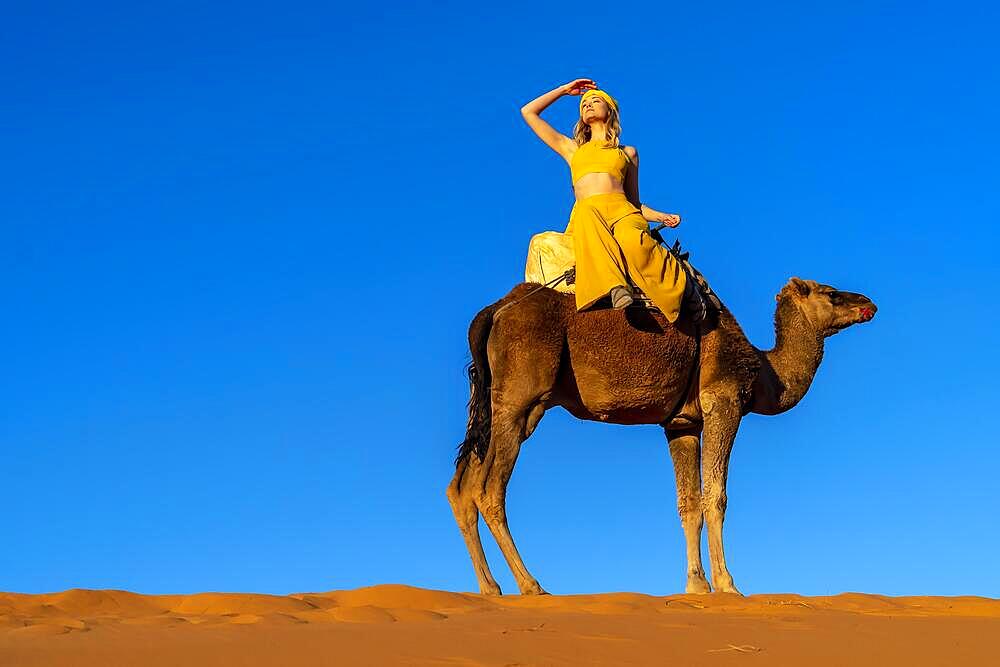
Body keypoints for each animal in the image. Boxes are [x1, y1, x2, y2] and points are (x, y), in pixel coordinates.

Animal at [446, 276, 876, 596]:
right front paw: (728, 584)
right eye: (832, 293)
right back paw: (531, 585)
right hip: (522, 397)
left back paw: (491, 588)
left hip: (500, 403)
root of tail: (495, 310)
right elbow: (715, 496)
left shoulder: (681, 424)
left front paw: (696, 586)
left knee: (461, 486)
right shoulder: (723, 402)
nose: (869, 303)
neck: (763, 372)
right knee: (489, 489)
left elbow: (689, 504)